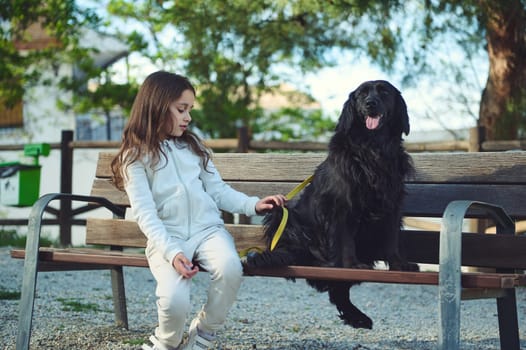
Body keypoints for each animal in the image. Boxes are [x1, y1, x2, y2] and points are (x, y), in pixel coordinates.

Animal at [244, 79, 420, 328]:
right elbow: (345, 241)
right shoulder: (341, 206)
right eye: (361, 94)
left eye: (384, 92)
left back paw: (357, 316)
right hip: (285, 216)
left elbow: (391, 239)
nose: (370, 104)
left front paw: (399, 264)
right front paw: (352, 265)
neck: (372, 148)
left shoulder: (392, 204)